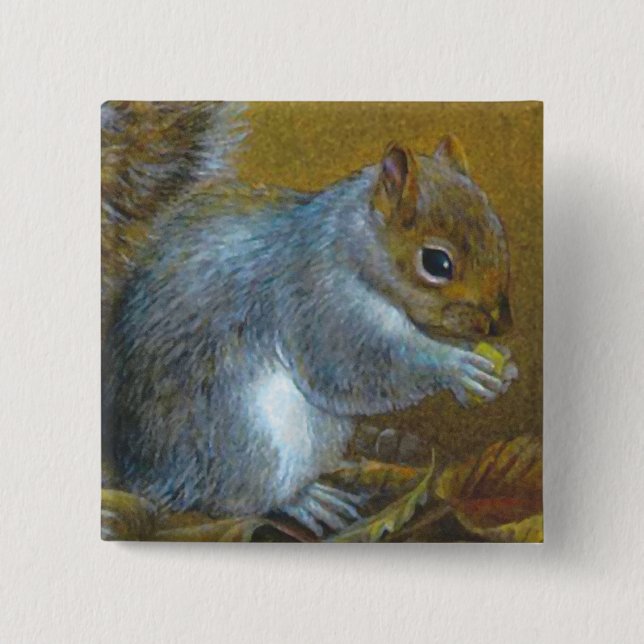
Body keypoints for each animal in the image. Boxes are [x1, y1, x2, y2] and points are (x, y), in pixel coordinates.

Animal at [102, 101, 517, 536]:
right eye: (437, 263)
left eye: (498, 230)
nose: (500, 325)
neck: (350, 247)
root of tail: (141, 474)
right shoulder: (317, 301)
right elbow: (355, 368)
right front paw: (458, 367)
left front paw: (499, 368)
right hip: (244, 444)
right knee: (234, 499)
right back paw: (306, 501)